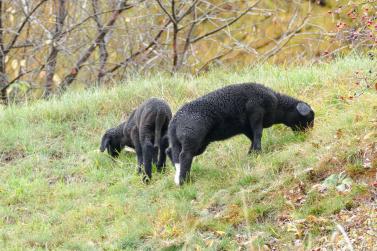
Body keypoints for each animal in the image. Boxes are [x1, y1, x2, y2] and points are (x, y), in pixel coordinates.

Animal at [167, 83, 314, 185]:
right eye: (309, 118)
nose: (308, 135)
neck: (277, 105)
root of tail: (174, 122)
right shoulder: (256, 113)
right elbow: (258, 134)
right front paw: (258, 152)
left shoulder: (246, 127)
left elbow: (253, 138)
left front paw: (252, 154)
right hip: (193, 137)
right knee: (185, 155)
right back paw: (183, 181)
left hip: (191, 143)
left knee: (171, 152)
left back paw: (179, 177)